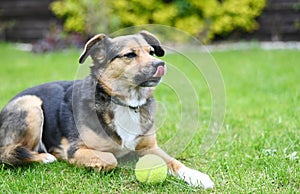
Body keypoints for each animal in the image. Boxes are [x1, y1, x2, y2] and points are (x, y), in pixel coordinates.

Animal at [0, 31, 216, 189]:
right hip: (31, 104)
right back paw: (45, 157)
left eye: (151, 52)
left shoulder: (149, 147)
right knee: (8, 152)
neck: (126, 104)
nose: (160, 64)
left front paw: (197, 176)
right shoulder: (77, 149)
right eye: (130, 55)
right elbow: (111, 159)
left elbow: (174, 161)